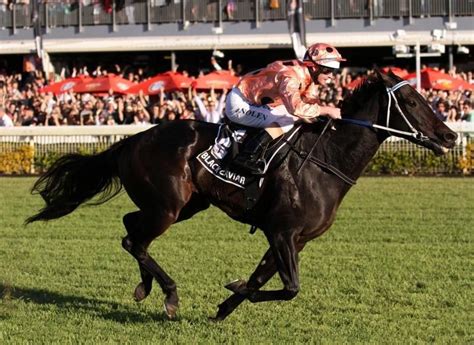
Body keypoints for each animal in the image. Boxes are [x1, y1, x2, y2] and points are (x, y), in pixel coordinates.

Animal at [27, 70, 458, 320]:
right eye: (412, 101)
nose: (451, 135)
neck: (325, 161)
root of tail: (133, 139)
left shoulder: (295, 239)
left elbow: (265, 279)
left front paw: (224, 306)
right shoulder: (282, 231)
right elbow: (289, 288)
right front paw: (232, 291)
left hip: (184, 205)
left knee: (132, 228)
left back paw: (145, 286)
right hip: (168, 206)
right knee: (134, 238)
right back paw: (169, 295)